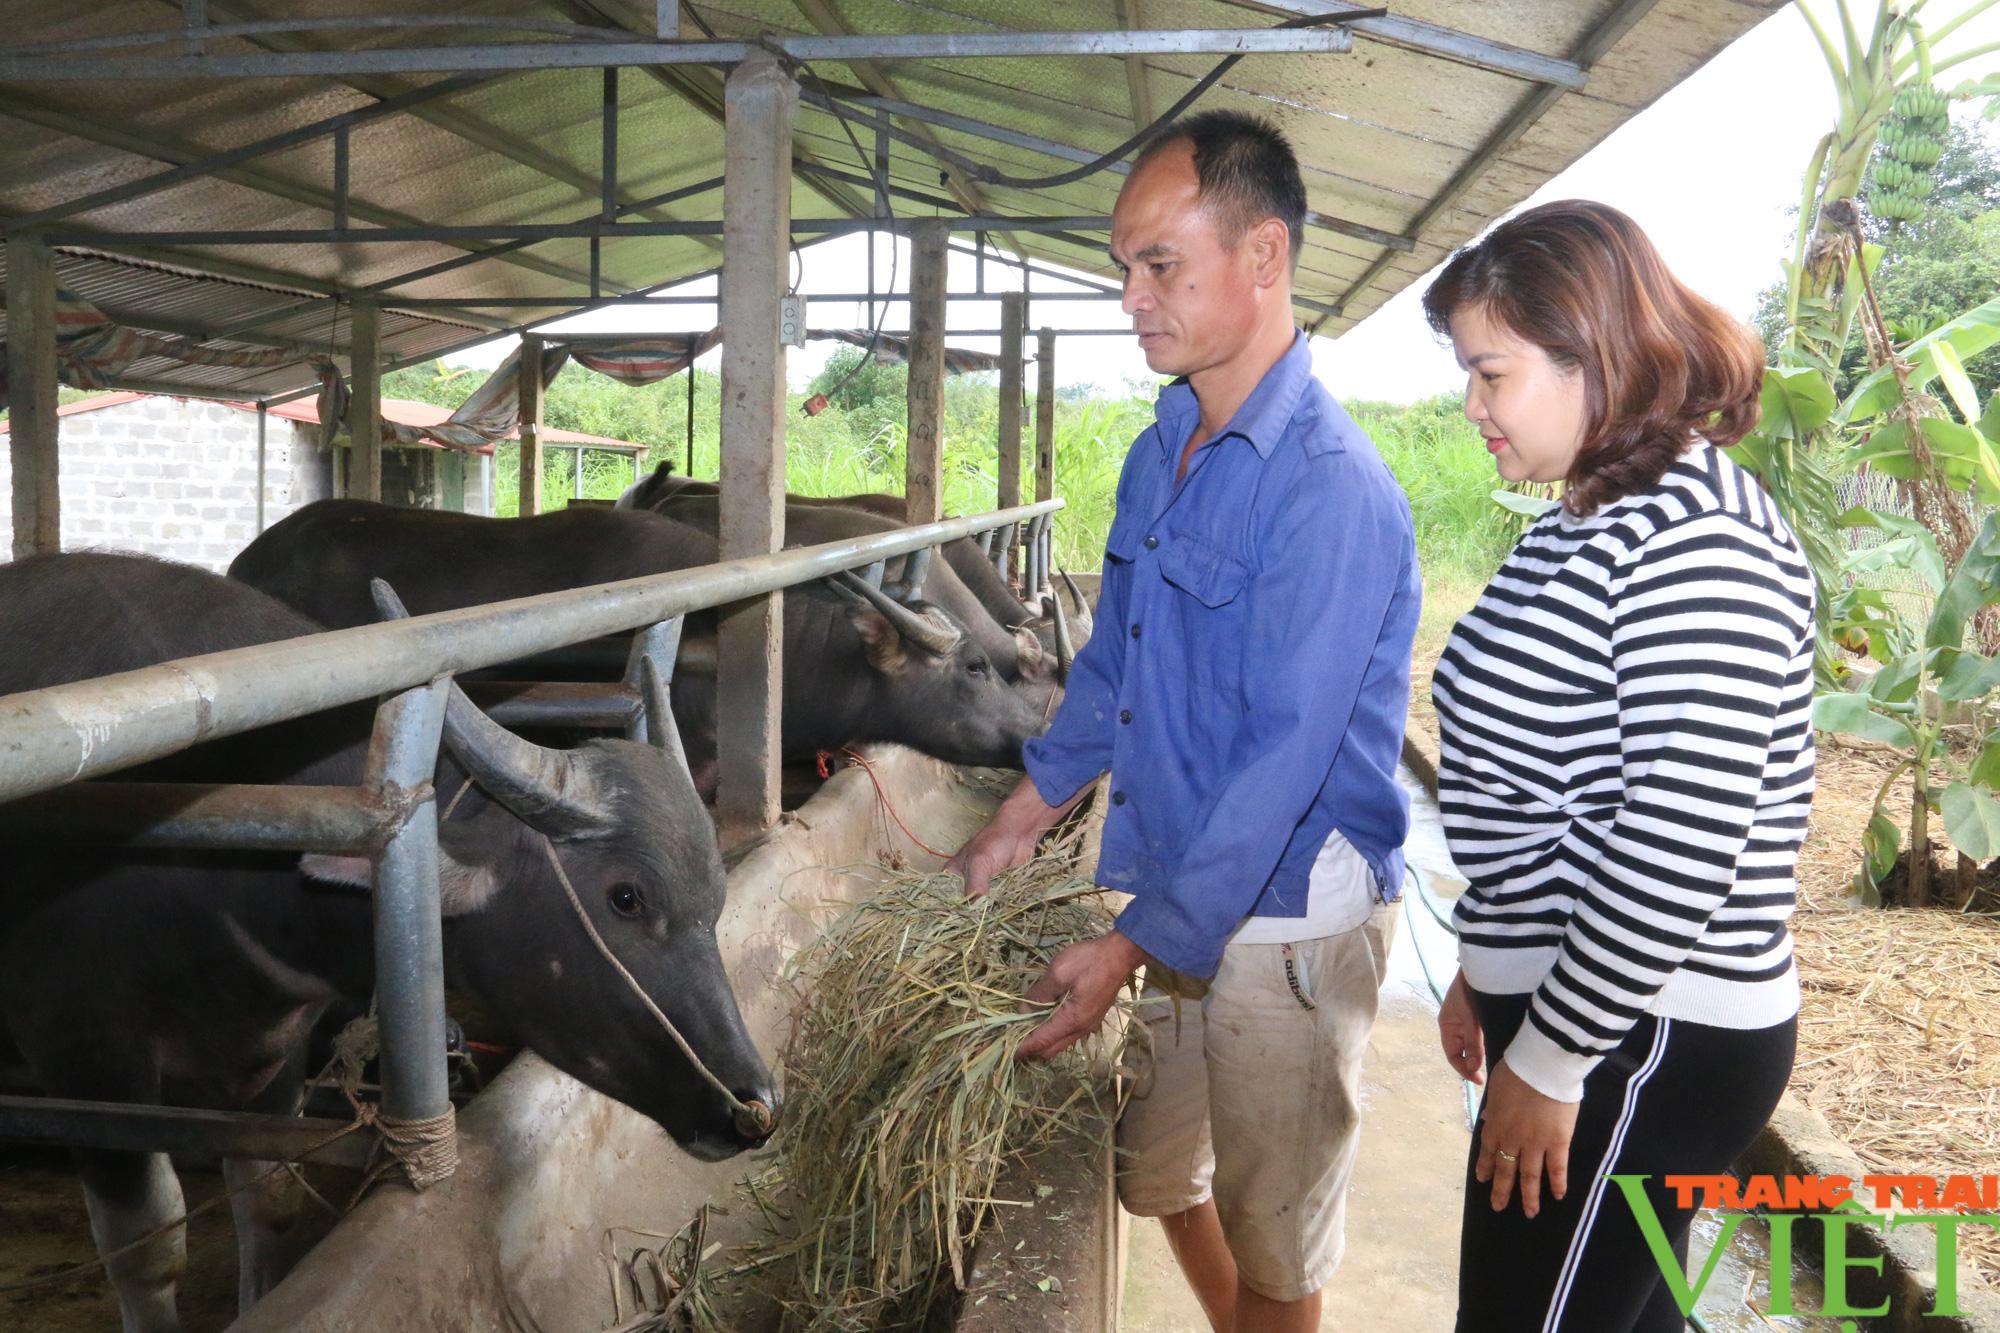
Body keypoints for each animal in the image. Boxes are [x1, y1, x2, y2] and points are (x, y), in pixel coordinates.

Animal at [0, 548, 776, 1328]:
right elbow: (147, 1248)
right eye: (626, 898)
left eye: (715, 900)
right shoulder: (86, 1055)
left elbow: (270, 1199)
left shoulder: (273, 1051)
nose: (752, 1105)